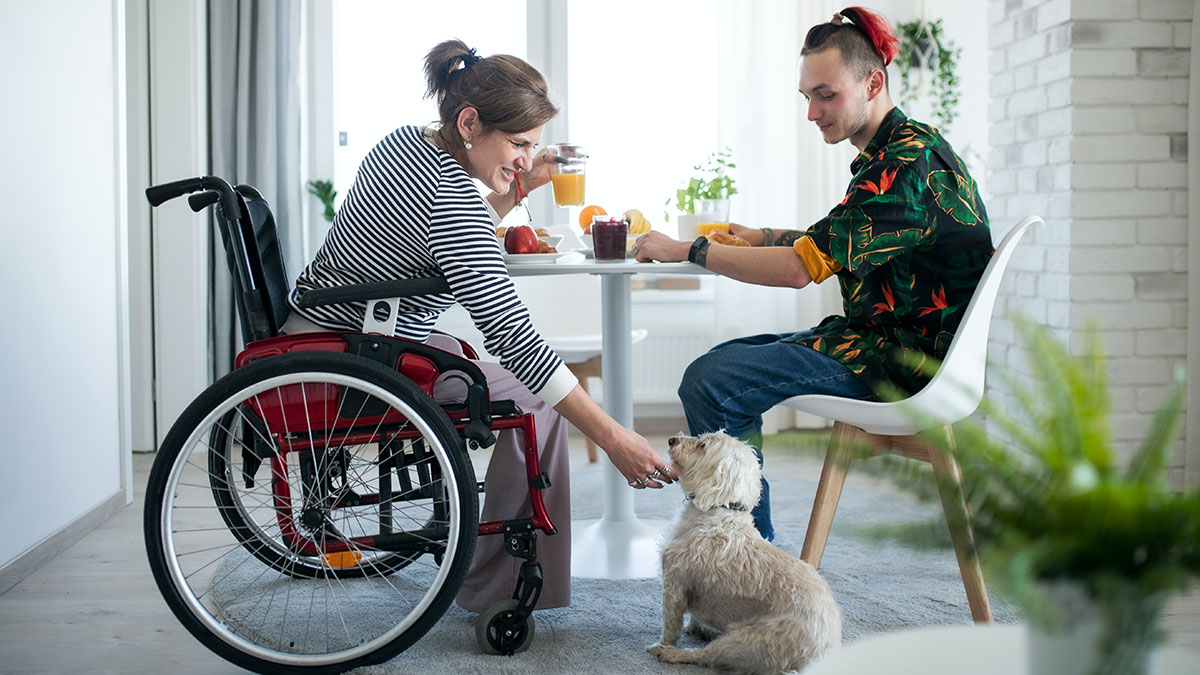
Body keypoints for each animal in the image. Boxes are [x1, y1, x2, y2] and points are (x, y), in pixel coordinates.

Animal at [648, 427, 844, 667]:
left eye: (703, 445)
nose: (671, 440)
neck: (720, 510)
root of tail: (825, 653)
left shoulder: (674, 584)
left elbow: (671, 623)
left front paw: (665, 642)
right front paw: (694, 627)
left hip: (748, 640)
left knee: (706, 656)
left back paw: (673, 653)